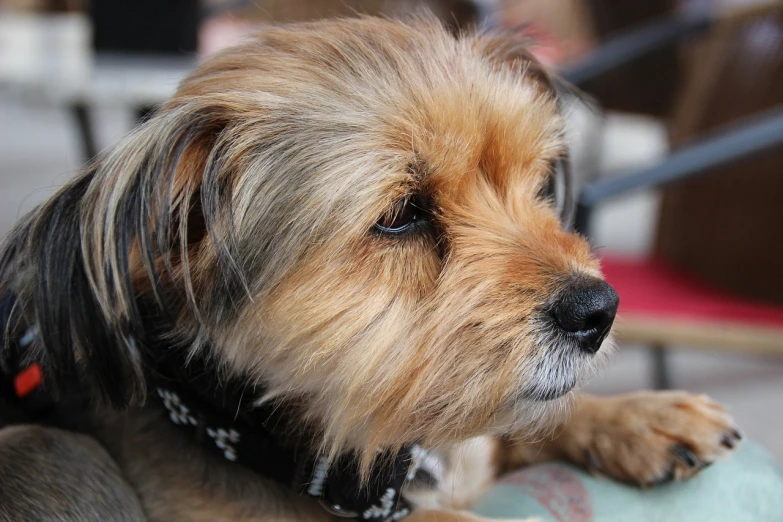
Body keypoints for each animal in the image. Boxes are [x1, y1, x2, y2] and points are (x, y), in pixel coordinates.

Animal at [1, 14, 740, 516]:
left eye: (532, 187)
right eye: (400, 215)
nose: (600, 310)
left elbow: (521, 426)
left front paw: (641, 416)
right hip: (50, 450)